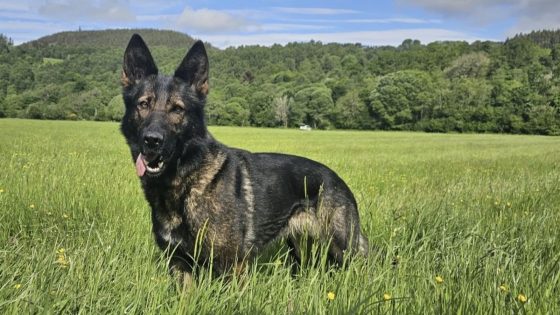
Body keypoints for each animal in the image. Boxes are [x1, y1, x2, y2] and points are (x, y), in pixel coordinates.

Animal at [120, 33, 370, 278]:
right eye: (143, 104)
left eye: (178, 109)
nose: (152, 140)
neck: (186, 181)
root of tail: (337, 179)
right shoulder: (179, 264)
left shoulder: (232, 266)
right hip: (300, 249)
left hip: (344, 249)